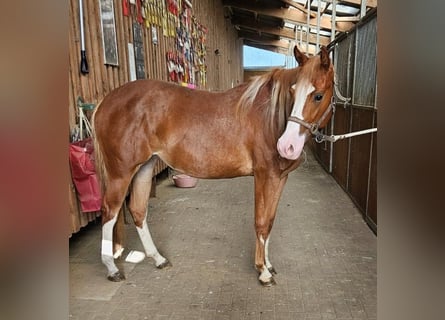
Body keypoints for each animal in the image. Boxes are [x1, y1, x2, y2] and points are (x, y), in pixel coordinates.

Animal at [91, 45, 332, 284]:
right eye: (293, 92)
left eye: (318, 95)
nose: (287, 146)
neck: (270, 116)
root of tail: (106, 101)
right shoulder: (265, 176)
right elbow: (261, 222)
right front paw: (262, 271)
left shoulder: (280, 178)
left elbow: (270, 222)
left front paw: (269, 265)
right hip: (120, 173)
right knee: (109, 211)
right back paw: (112, 268)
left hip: (144, 167)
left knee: (138, 209)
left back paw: (158, 259)